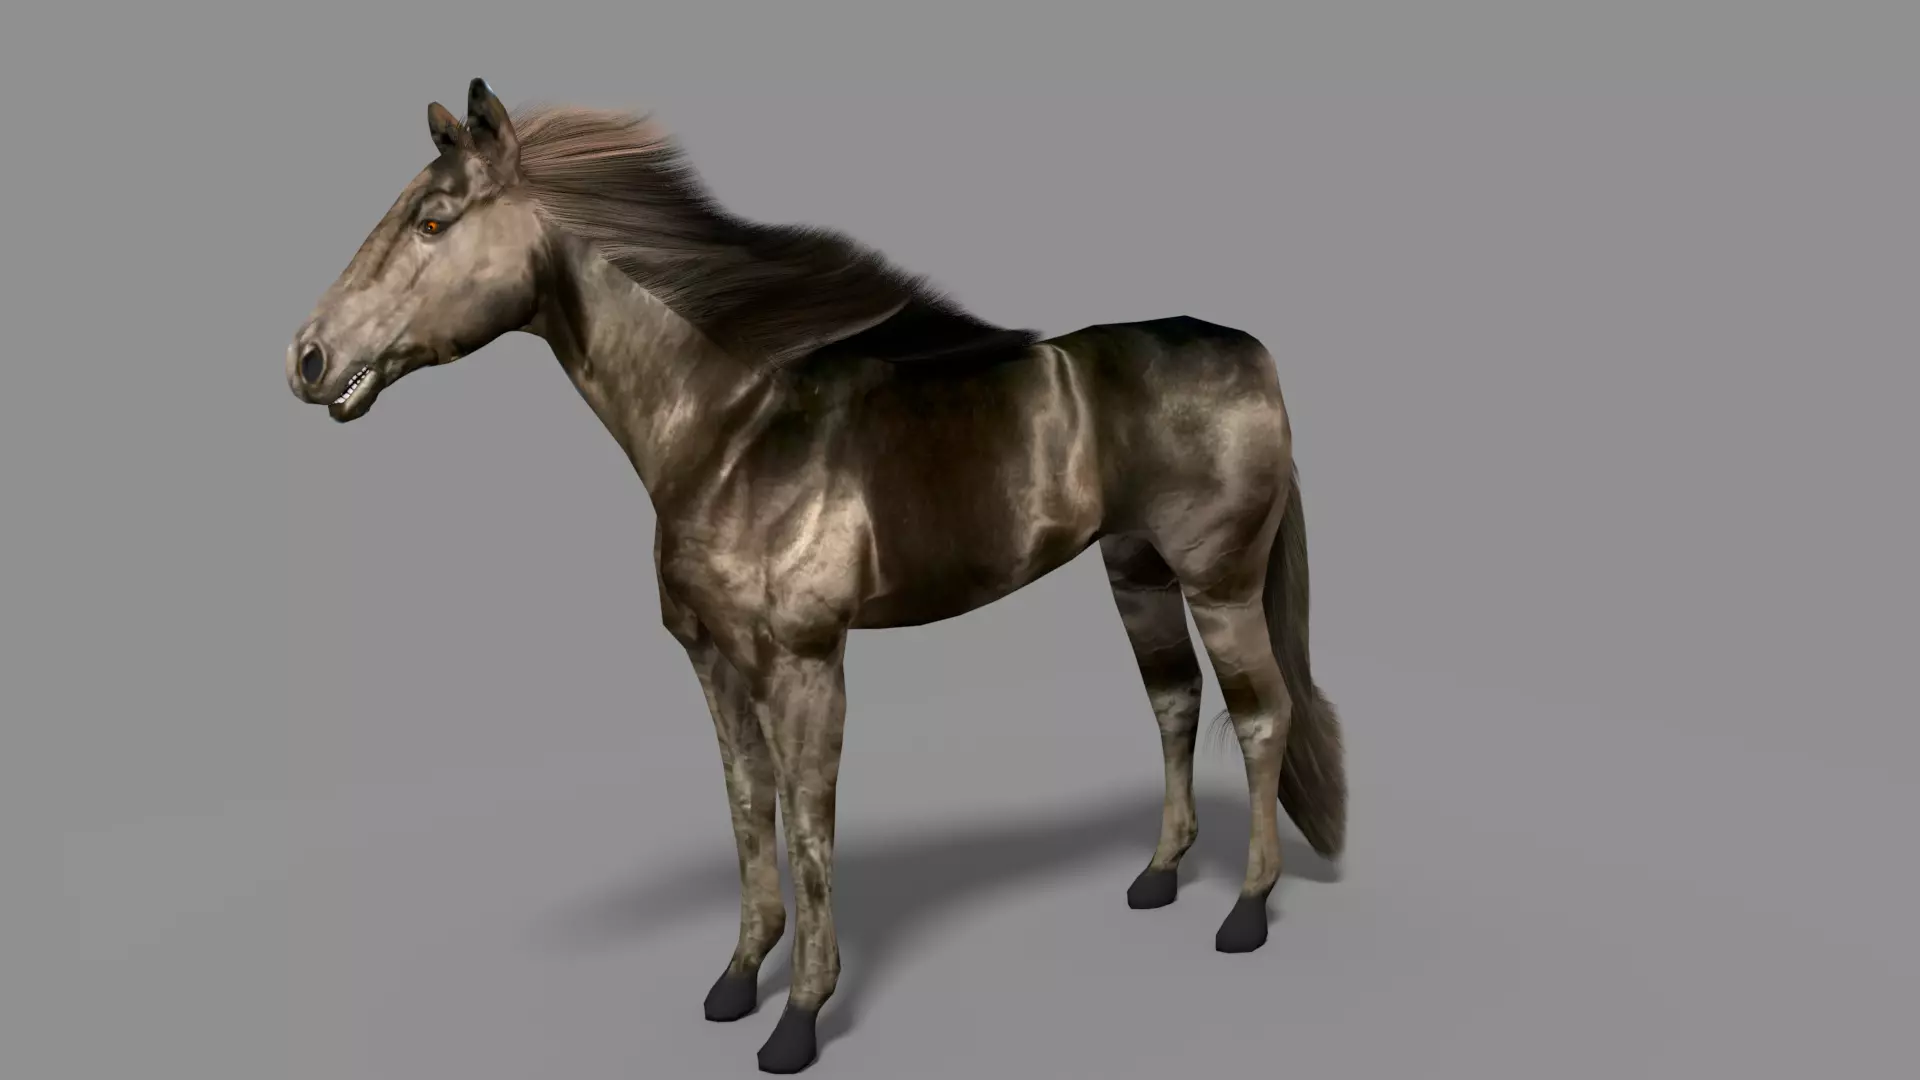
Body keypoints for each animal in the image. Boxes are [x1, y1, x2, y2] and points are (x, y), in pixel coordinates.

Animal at [286, 78, 1347, 1075]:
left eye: (432, 220)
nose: (308, 358)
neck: (732, 429)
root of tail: (1249, 352)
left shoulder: (804, 664)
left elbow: (806, 822)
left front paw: (797, 1019)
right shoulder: (714, 662)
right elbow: (747, 806)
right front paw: (734, 981)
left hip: (1219, 581)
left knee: (1261, 716)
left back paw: (1245, 913)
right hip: (1137, 578)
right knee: (1174, 702)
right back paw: (1158, 877)